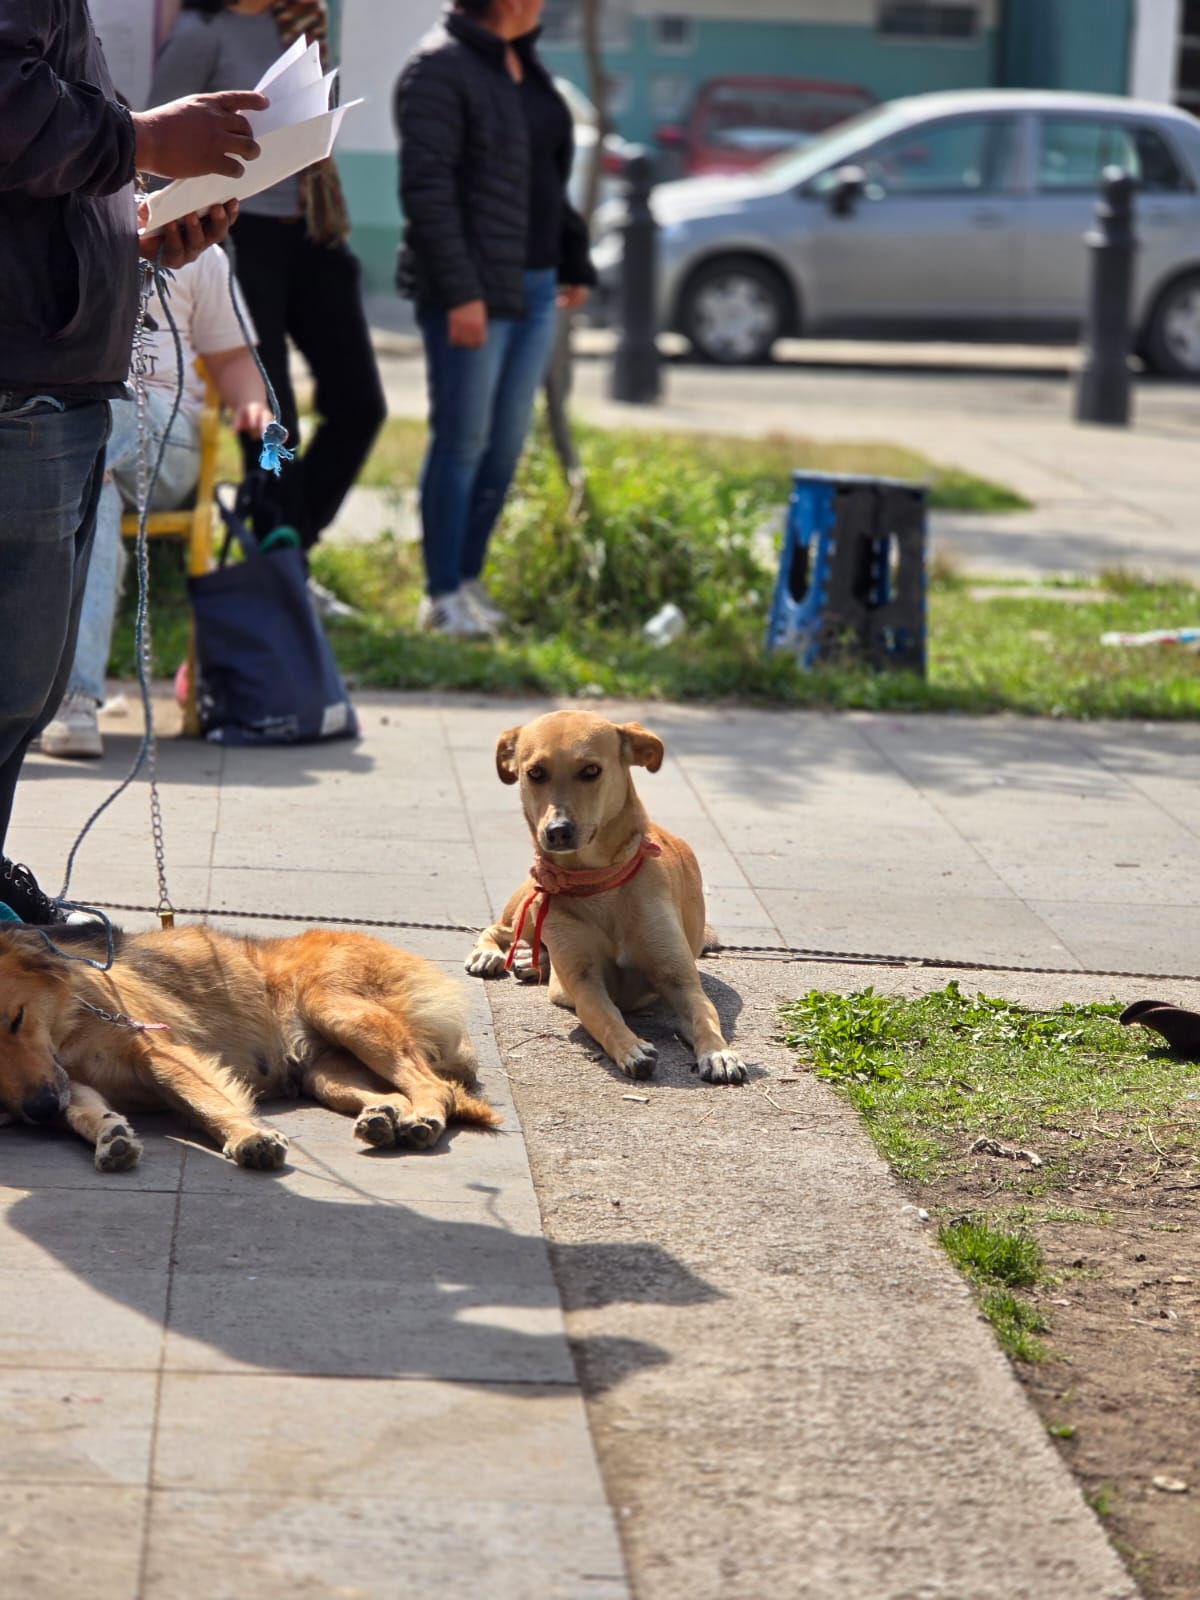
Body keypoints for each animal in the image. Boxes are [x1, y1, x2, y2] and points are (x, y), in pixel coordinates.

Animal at [0, 921, 499, 1171]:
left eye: (16, 1018)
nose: (39, 1111)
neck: (66, 1026)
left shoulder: (161, 1052)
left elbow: (206, 1103)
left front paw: (248, 1137)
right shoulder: (64, 1082)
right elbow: (83, 1112)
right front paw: (111, 1135)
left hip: (341, 1012)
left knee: (437, 1087)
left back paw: (423, 1119)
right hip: (326, 1073)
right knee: (397, 1091)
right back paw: (384, 1120)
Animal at [464, 713, 748, 1088]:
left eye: (591, 770)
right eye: (535, 772)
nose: (557, 831)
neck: (599, 885)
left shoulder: (681, 981)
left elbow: (705, 1015)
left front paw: (718, 1053)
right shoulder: (585, 983)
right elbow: (605, 1016)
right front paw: (631, 1047)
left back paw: (530, 960)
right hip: (532, 901)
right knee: (499, 928)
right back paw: (491, 954)